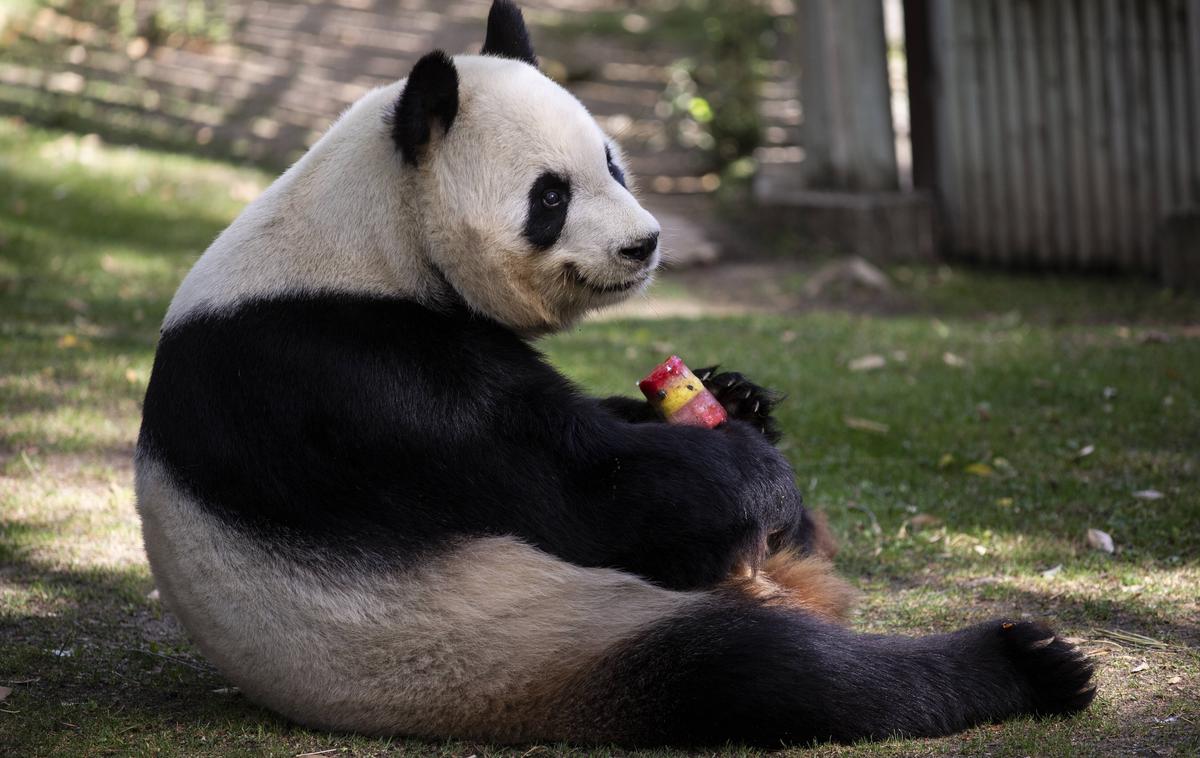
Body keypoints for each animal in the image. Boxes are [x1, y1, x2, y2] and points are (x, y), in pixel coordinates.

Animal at [133, 0, 1099, 748]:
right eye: (550, 196)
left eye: (612, 161)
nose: (646, 243)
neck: (370, 236)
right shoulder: (352, 378)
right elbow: (584, 491)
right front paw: (755, 470)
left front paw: (734, 396)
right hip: (519, 641)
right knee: (761, 672)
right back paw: (1031, 664)